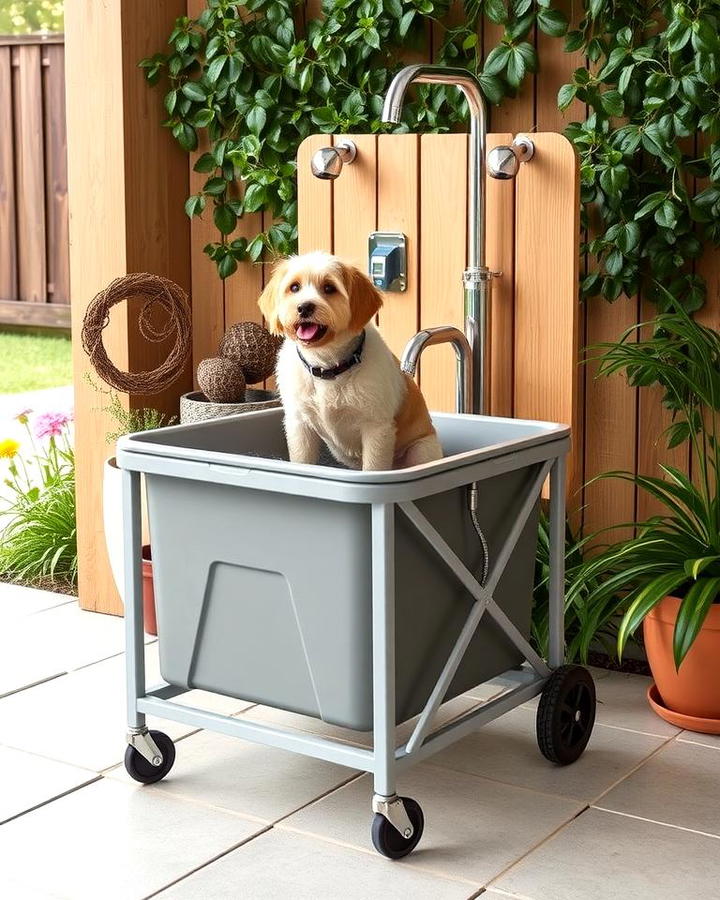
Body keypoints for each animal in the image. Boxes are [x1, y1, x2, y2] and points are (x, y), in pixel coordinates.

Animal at [256, 248, 442, 468]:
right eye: (294, 287)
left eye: (329, 288)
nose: (304, 307)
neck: (327, 367)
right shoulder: (299, 425)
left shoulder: (376, 429)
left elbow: (373, 468)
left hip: (421, 450)